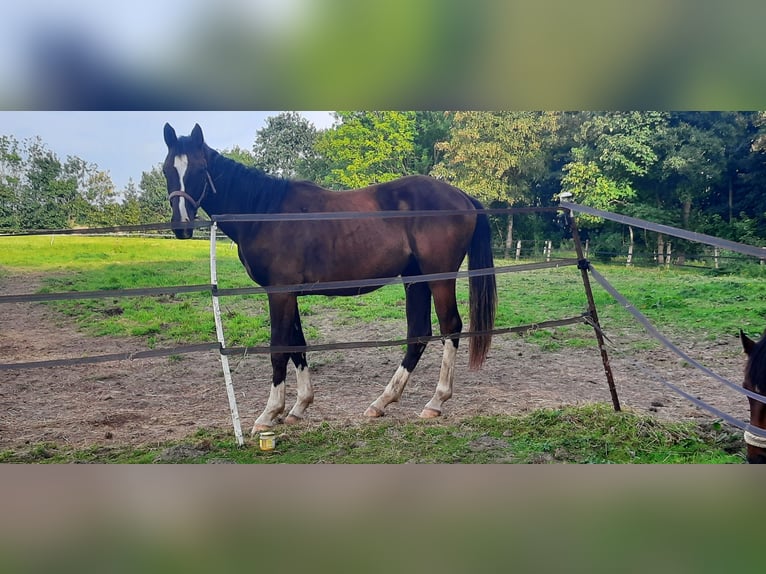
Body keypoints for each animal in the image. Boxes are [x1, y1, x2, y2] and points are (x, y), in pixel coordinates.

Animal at [162, 124, 498, 434]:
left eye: (199, 169)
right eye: (167, 169)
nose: (181, 226)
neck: (263, 211)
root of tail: (461, 196)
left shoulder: (279, 293)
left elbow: (278, 349)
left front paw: (269, 414)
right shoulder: (290, 294)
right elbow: (297, 345)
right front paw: (299, 407)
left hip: (439, 279)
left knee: (450, 327)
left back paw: (435, 402)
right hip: (415, 278)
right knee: (418, 334)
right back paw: (381, 402)